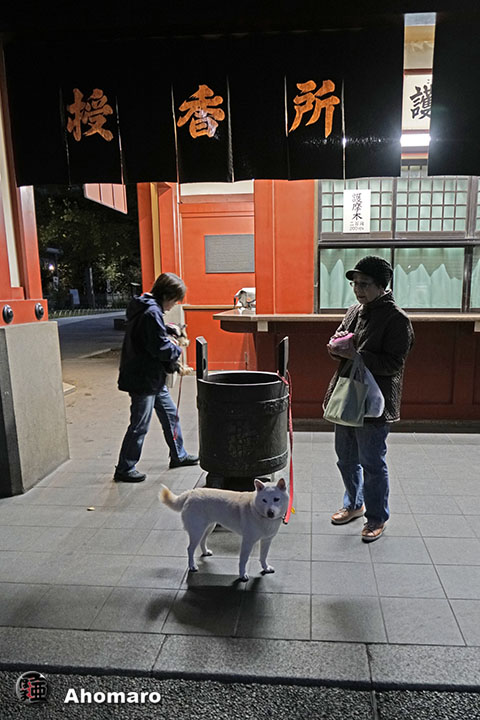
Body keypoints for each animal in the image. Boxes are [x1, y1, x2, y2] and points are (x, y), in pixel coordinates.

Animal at [159, 478, 288, 582]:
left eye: (276, 499)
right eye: (264, 500)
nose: (270, 513)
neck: (257, 511)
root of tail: (191, 492)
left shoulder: (267, 540)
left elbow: (263, 556)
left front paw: (266, 568)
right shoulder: (248, 541)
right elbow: (243, 559)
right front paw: (242, 575)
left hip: (208, 527)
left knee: (202, 541)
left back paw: (205, 552)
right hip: (197, 530)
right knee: (190, 549)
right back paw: (192, 566)